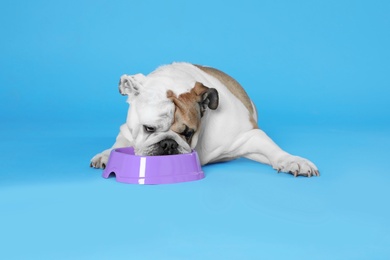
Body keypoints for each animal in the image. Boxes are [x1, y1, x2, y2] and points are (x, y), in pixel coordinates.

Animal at [91, 62, 320, 178]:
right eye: (149, 128)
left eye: (188, 133)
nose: (168, 144)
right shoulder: (127, 130)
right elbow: (119, 143)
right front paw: (106, 155)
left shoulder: (248, 136)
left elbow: (273, 149)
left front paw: (293, 160)